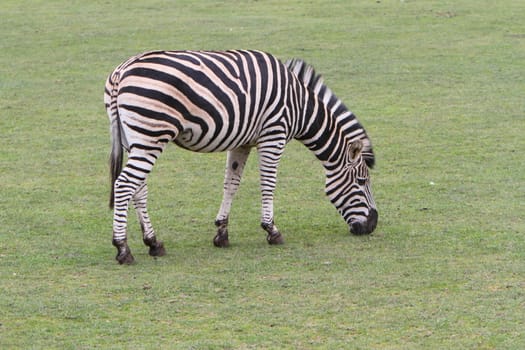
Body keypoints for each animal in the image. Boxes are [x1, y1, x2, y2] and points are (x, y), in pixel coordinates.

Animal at [104, 48, 376, 262]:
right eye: (361, 181)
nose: (372, 225)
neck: (300, 106)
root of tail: (121, 71)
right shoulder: (273, 135)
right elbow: (268, 184)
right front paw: (272, 230)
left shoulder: (242, 142)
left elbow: (231, 184)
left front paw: (221, 232)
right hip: (151, 135)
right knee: (125, 184)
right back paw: (123, 249)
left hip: (134, 139)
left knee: (139, 188)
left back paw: (153, 243)